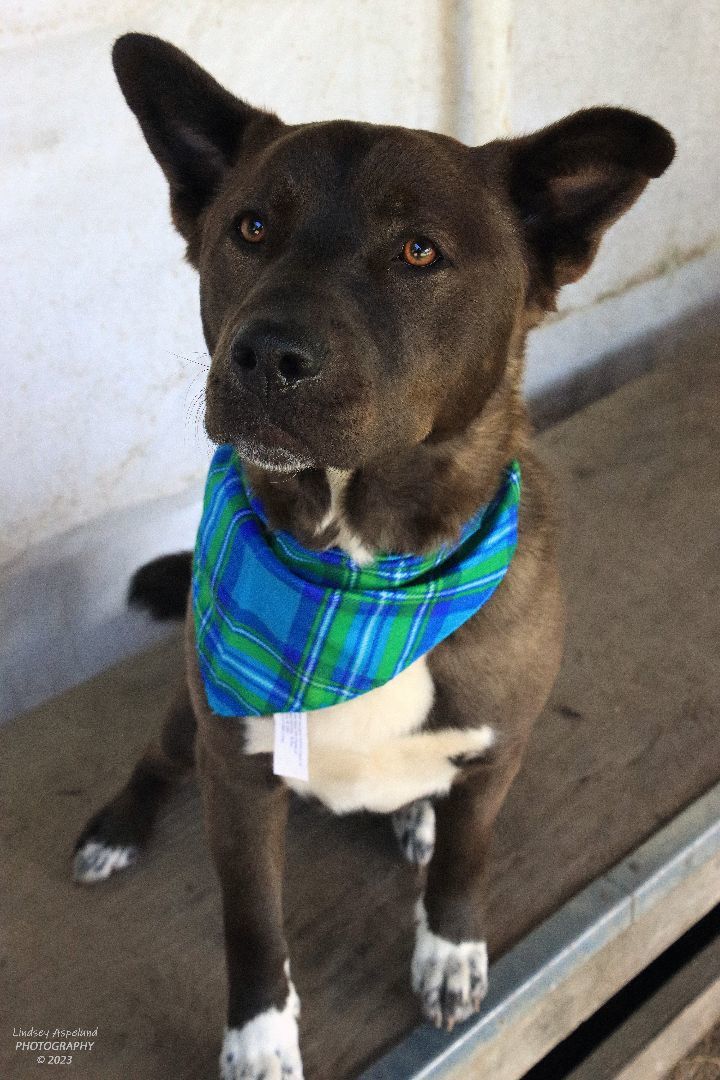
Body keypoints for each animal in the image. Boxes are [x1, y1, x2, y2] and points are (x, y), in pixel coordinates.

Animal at [70, 33, 673, 1080]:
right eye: (251, 228)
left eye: (418, 250)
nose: (265, 356)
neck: (361, 569)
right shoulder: (238, 781)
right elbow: (252, 924)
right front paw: (258, 1039)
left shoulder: (501, 749)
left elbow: (468, 864)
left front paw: (450, 952)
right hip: (187, 721)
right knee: (154, 759)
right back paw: (117, 828)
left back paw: (416, 815)